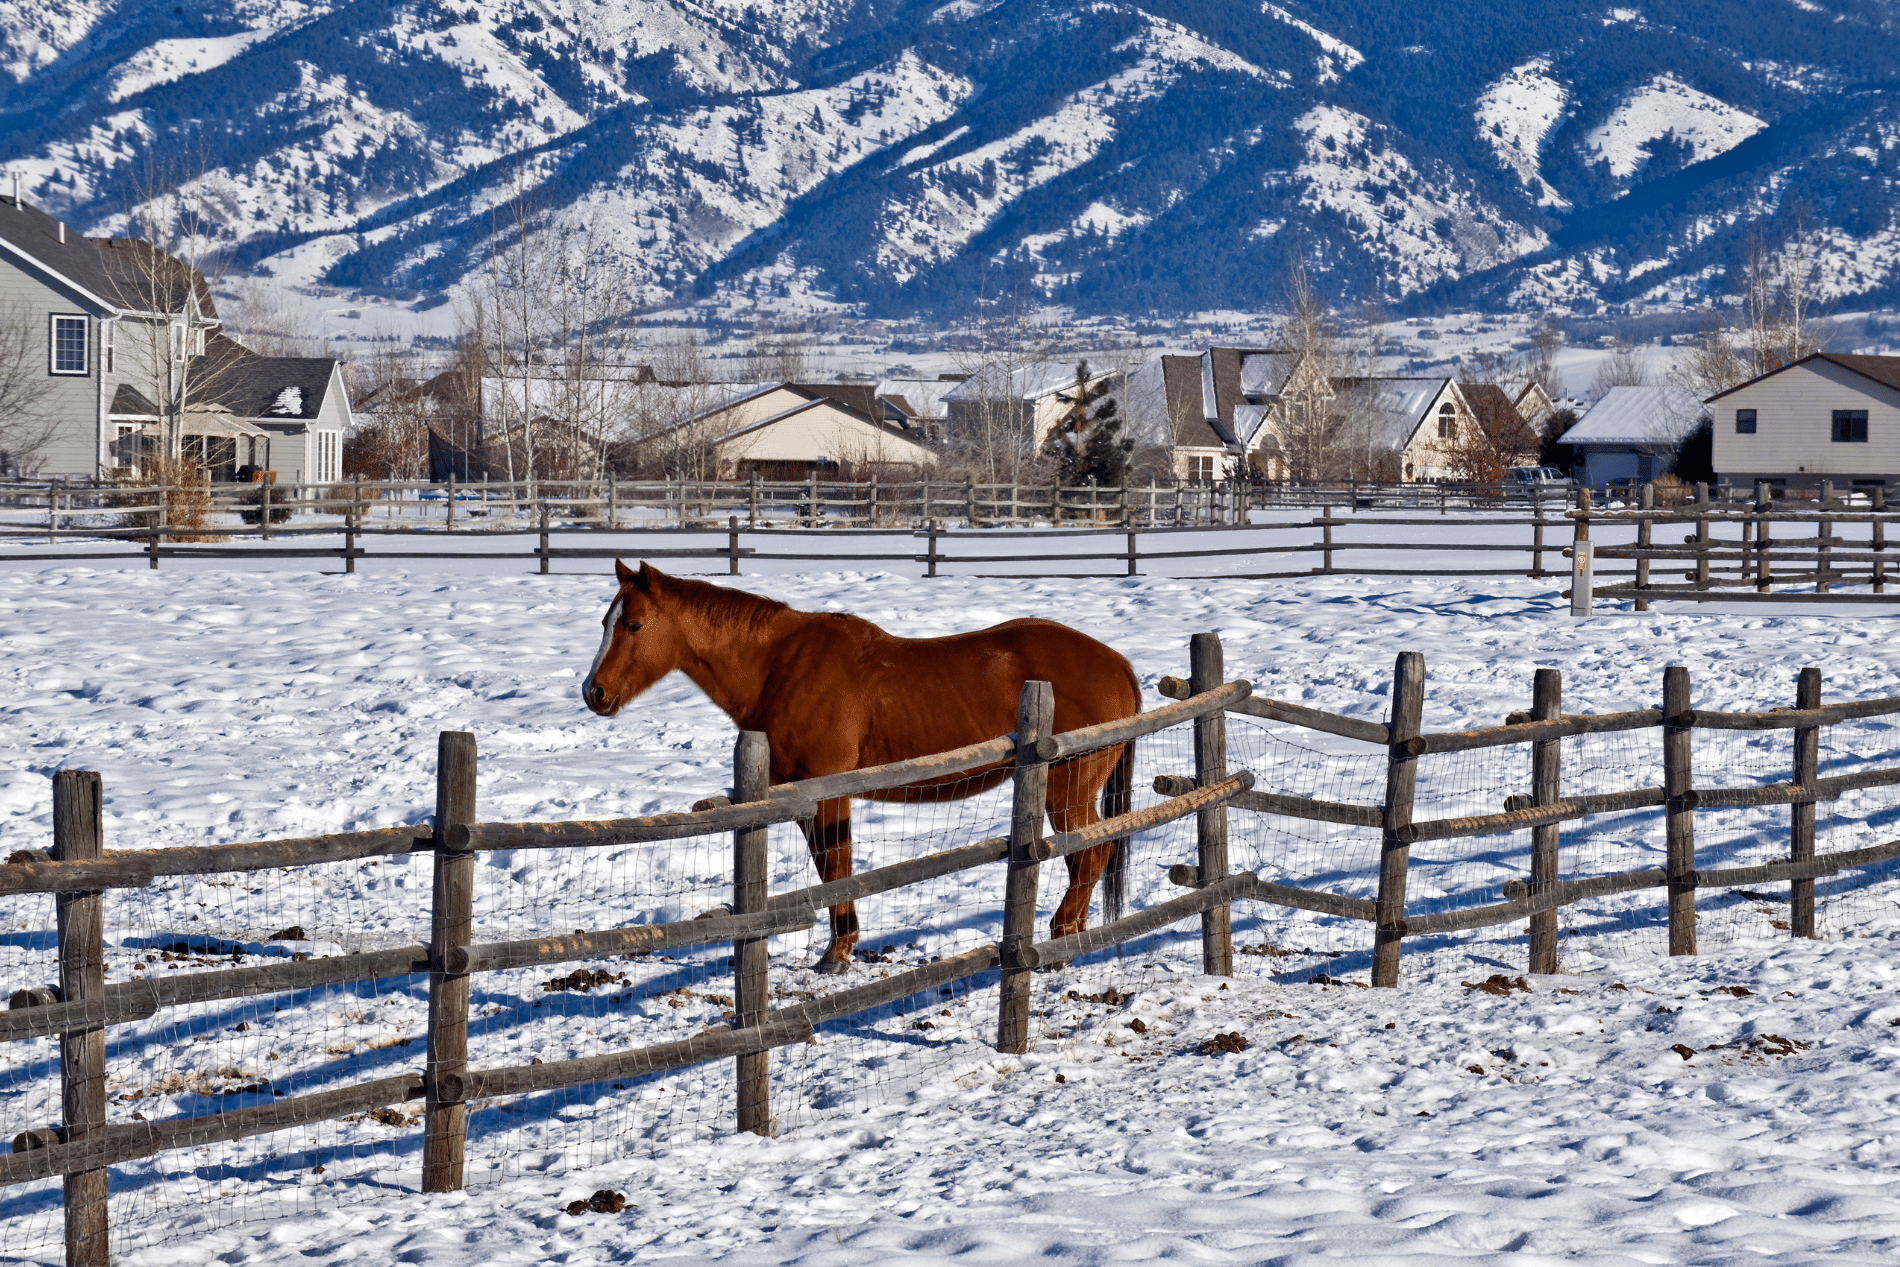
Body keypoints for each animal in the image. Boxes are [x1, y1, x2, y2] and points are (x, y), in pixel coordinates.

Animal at [577, 562, 1140, 972]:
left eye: (634, 624)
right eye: (604, 622)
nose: (593, 693)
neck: (780, 666)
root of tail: (1117, 664)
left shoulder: (828, 793)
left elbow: (836, 868)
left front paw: (838, 953)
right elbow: (833, 869)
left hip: (1067, 789)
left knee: (1090, 854)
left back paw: (1062, 935)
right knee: (1090, 855)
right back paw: (1077, 933)